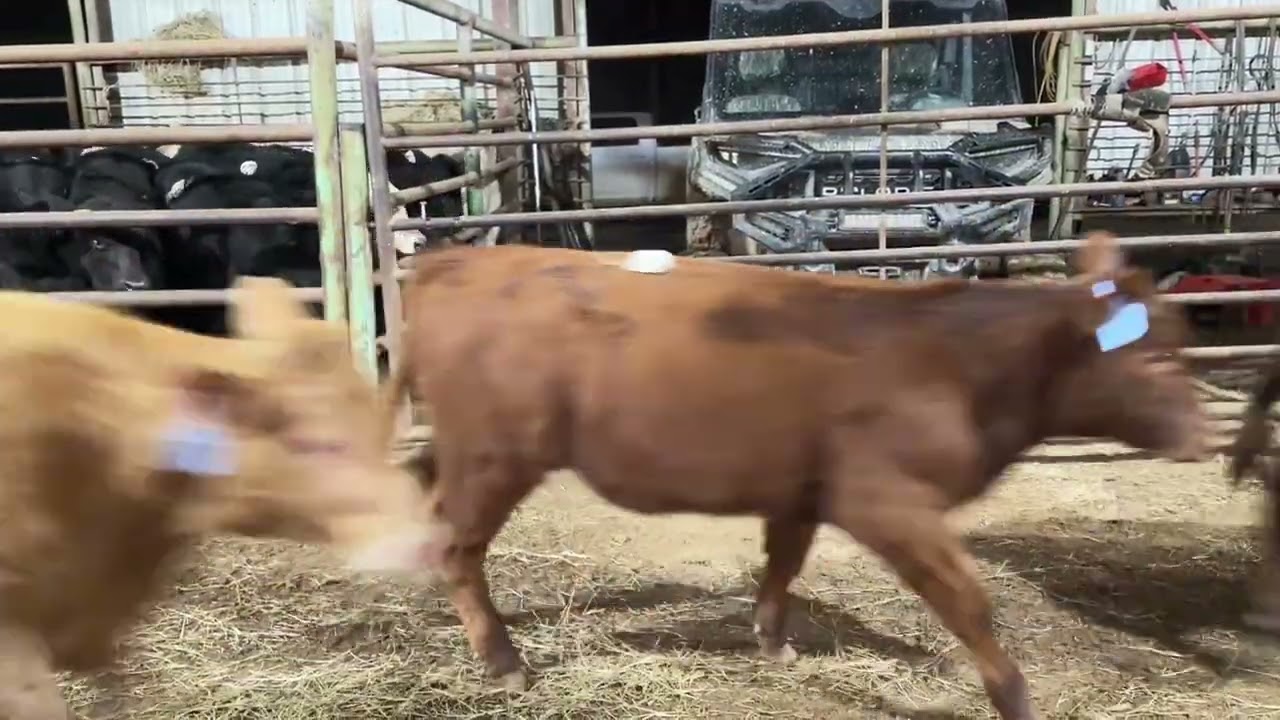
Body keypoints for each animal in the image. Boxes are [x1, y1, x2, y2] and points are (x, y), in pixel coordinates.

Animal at [379, 234, 1208, 720]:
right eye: (1158, 357)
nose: (1206, 435)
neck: (960, 362)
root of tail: (464, 257)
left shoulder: (802, 488)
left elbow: (783, 562)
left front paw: (772, 642)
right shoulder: (888, 501)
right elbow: (969, 603)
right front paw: (1013, 696)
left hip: (466, 448)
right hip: (496, 454)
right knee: (459, 546)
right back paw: (503, 661)